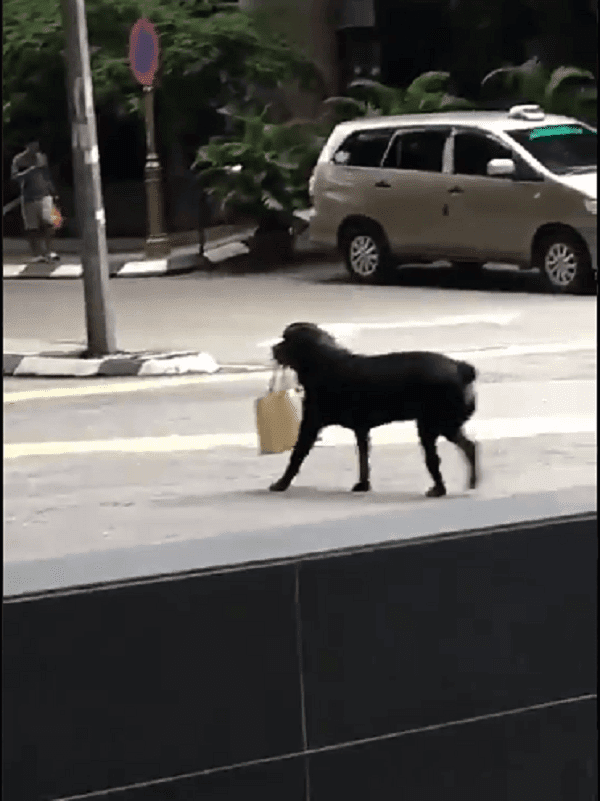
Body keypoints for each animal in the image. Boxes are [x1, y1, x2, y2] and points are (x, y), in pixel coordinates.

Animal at [272, 322, 478, 496]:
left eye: (287, 340)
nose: (273, 348)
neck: (322, 363)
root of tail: (462, 369)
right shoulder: (361, 429)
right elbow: (363, 459)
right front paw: (363, 485)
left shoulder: (311, 425)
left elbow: (296, 456)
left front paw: (281, 483)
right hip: (443, 425)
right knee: (468, 447)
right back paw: (466, 483)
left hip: (434, 425)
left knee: (439, 457)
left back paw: (441, 488)